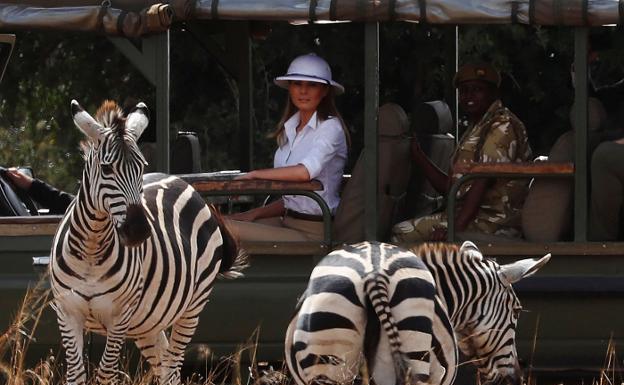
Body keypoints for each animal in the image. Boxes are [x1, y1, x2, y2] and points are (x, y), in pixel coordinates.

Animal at [50, 100, 245, 384]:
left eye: (141, 167)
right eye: (106, 168)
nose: (140, 230)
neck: (91, 250)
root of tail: (180, 180)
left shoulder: (120, 316)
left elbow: (106, 373)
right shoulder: (67, 312)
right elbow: (75, 374)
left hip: (193, 307)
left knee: (173, 367)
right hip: (148, 323)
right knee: (165, 368)